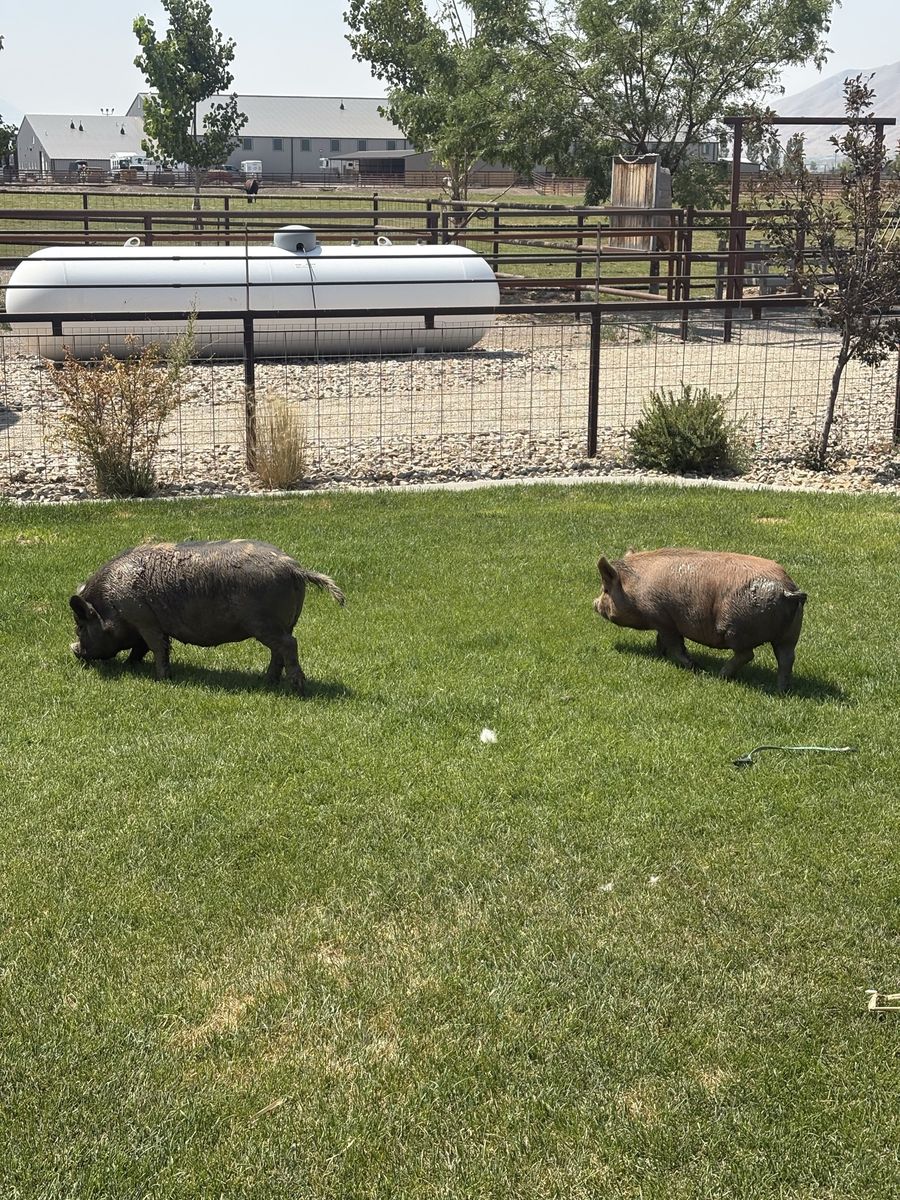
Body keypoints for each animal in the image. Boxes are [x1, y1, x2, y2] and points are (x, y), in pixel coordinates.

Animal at [70, 539, 345, 694]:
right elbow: (142, 648)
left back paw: (296, 689)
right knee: (279, 650)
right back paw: (267, 682)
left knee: (289, 645)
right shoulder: (146, 622)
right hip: (282, 624)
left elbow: (157, 647)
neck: (110, 605)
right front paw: (131, 666)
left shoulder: (144, 619)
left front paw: (161, 679)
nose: (75, 651)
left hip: (265, 623)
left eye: (80, 627)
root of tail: (296, 568)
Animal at [593, 547, 806, 692]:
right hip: (790, 633)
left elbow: (675, 645)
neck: (635, 590)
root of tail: (787, 590)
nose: (594, 603)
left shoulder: (663, 619)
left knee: (747, 655)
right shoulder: (663, 622)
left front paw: (693, 666)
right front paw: (660, 654)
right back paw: (781, 690)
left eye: (606, 590)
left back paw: (719, 675)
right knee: (787, 658)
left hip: (736, 629)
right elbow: (662, 641)